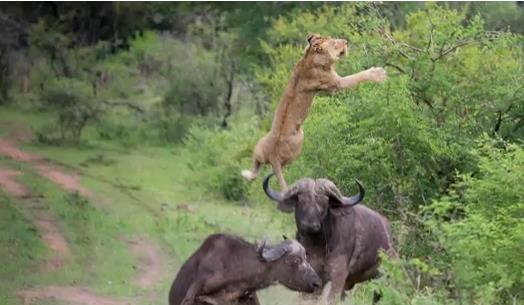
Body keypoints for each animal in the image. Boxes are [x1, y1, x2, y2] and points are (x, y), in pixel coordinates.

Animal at [242, 34, 384, 189]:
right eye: (334, 43)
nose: (346, 41)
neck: (309, 58)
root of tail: (273, 156)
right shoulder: (337, 84)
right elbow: (358, 76)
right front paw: (378, 73)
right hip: (299, 141)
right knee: (280, 167)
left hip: (259, 148)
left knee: (257, 166)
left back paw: (247, 174)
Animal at [264, 172, 396, 302]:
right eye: (301, 201)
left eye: (324, 204)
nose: (310, 225)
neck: (317, 247)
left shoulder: (339, 274)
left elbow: (331, 298)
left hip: (383, 279)